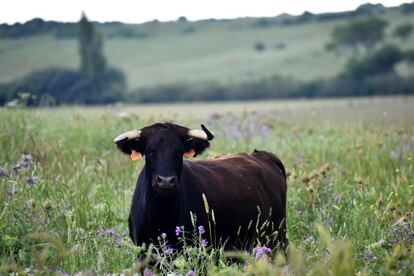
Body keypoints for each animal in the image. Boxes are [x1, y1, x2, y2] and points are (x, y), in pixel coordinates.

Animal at [113, 123, 288, 250]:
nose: (166, 181)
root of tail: (261, 154)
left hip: (277, 236)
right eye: (150, 151)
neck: (162, 214)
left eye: (179, 151)